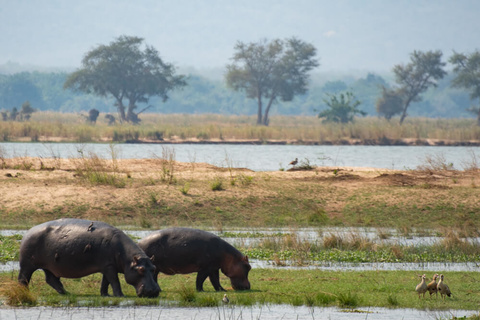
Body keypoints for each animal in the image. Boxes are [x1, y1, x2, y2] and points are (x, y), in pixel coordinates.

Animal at [17, 218, 160, 298]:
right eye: (141, 270)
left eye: (153, 268)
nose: (154, 291)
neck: (128, 259)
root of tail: (28, 232)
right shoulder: (109, 267)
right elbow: (115, 281)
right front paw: (120, 296)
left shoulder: (108, 266)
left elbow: (105, 282)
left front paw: (105, 295)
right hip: (27, 265)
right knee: (23, 278)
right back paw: (24, 293)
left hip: (49, 266)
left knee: (51, 279)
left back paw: (66, 293)